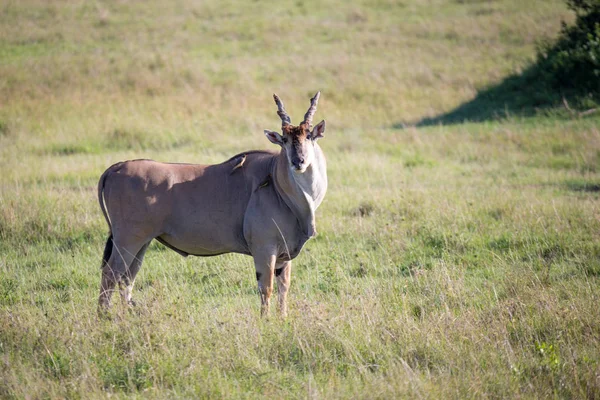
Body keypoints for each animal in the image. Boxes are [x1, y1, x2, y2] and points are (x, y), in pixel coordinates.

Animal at [97, 92, 328, 318]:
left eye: (309, 136)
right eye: (284, 140)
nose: (298, 161)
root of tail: (116, 168)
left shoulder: (283, 254)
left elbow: (284, 287)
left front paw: (282, 319)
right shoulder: (265, 248)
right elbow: (266, 288)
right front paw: (266, 322)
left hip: (142, 242)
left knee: (127, 278)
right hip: (128, 240)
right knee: (111, 273)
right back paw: (103, 317)